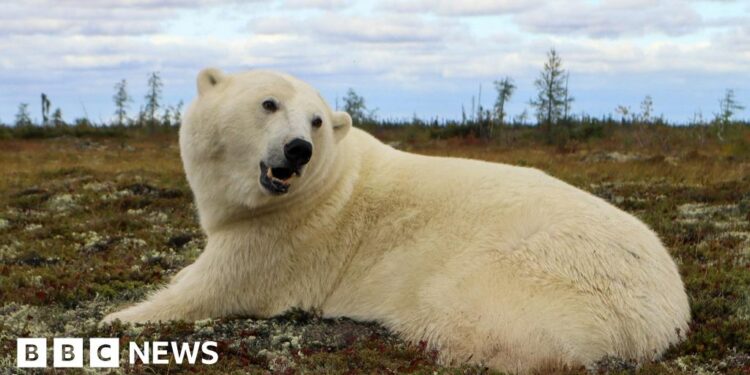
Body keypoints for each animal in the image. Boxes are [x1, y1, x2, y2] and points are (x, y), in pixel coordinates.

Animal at [106, 67, 692, 374]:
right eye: (268, 103)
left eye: (316, 120)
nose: (298, 149)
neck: (328, 182)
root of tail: (670, 311)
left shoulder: (286, 233)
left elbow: (210, 287)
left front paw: (120, 316)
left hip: (531, 274)